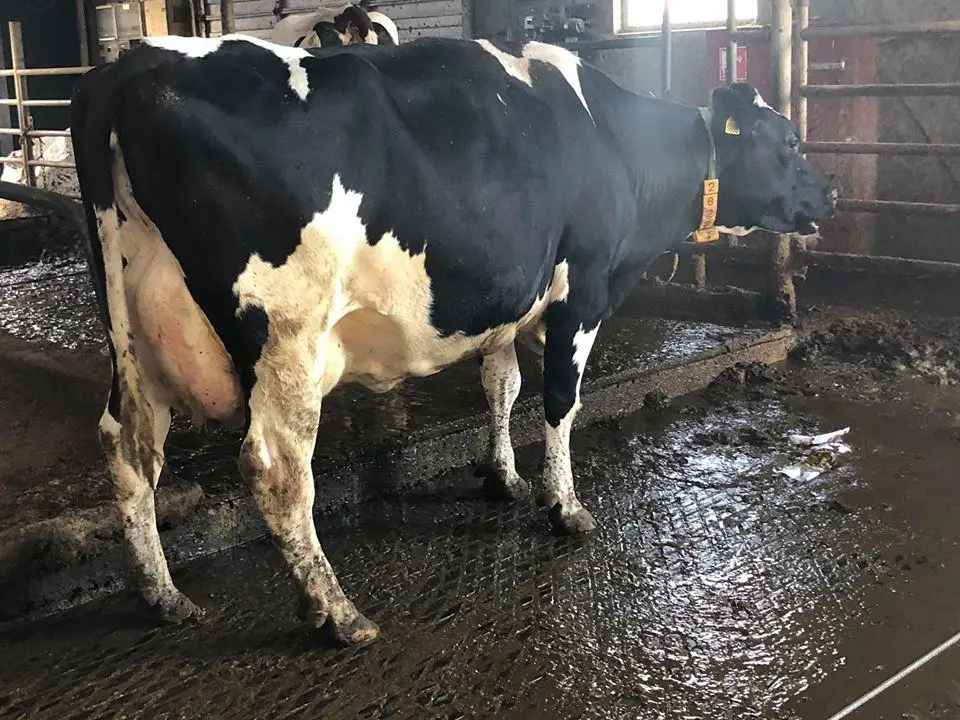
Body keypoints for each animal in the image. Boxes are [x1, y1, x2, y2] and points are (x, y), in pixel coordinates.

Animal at [70, 34, 834, 646]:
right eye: (790, 142)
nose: (827, 196)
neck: (619, 145)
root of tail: (133, 65)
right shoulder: (582, 290)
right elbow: (559, 400)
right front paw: (565, 506)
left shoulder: (502, 297)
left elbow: (502, 385)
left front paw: (503, 476)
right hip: (287, 335)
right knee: (275, 469)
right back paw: (337, 611)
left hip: (131, 333)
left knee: (128, 446)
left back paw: (162, 594)